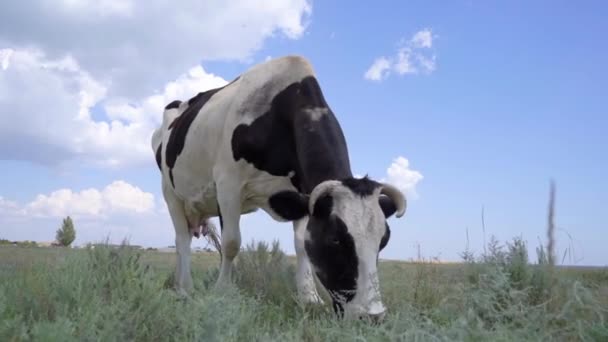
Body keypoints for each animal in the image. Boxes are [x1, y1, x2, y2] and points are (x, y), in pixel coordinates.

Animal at [151, 54, 406, 322]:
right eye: (335, 239)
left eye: (384, 240)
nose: (373, 316)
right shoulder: (227, 183)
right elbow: (231, 243)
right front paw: (222, 292)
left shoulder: (303, 196)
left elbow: (301, 245)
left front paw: (309, 298)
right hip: (171, 193)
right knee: (182, 240)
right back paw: (184, 289)